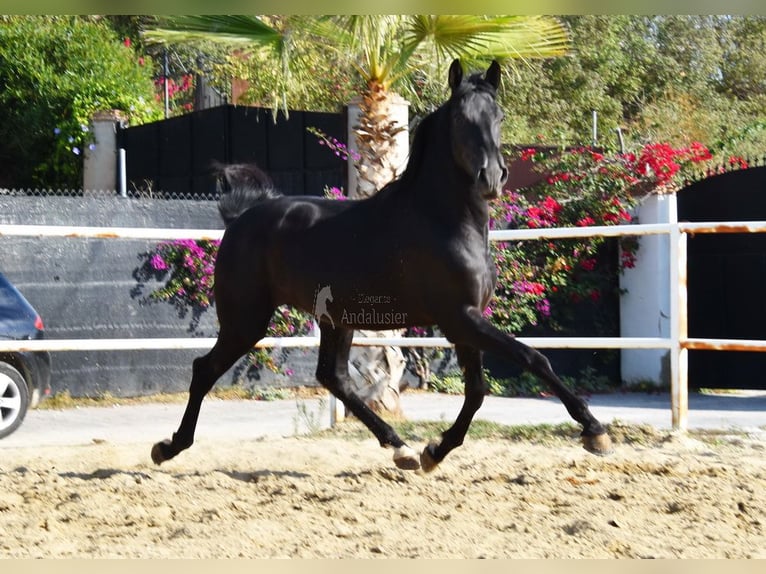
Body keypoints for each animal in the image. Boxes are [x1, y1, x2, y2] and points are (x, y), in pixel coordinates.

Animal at [153, 59, 616, 472]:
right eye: (461, 118)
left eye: (498, 115)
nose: (492, 178)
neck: (441, 219)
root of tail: (241, 218)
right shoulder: (459, 317)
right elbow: (532, 359)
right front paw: (595, 432)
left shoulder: (466, 321)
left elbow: (478, 391)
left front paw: (434, 452)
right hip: (246, 320)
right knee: (205, 369)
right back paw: (168, 447)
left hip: (335, 320)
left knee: (333, 377)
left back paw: (401, 448)